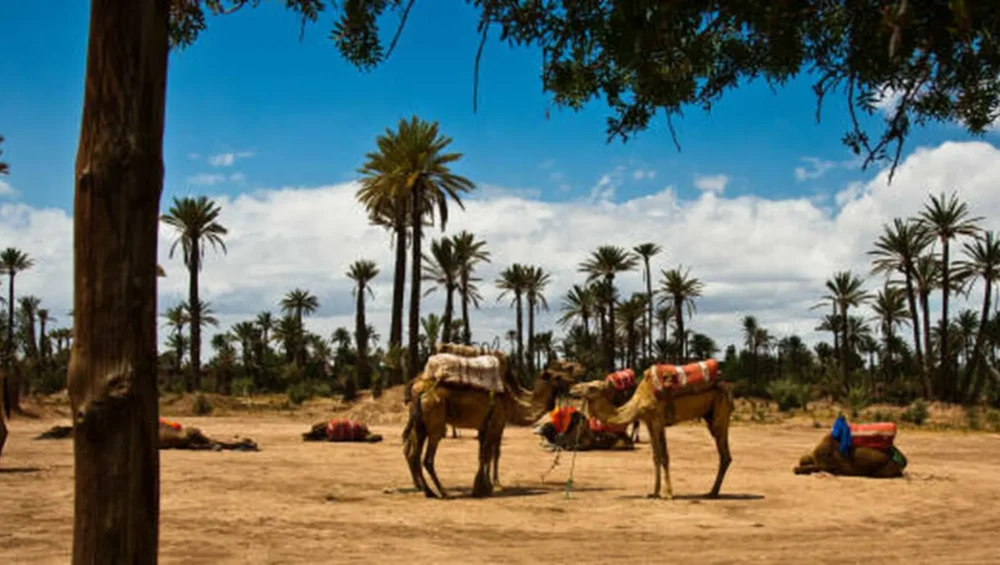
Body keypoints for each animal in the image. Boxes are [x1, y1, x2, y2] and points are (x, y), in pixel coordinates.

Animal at [403, 344, 578, 498]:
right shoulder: (496, 424)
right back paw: (443, 492)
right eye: (558, 376)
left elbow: (483, 454)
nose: (573, 381)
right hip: (435, 422)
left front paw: (484, 486)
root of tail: (419, 390)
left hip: (420, 424)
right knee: (427, 458)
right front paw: (485, 488)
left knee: (413, 454)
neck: (511, 401)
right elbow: (491, 454)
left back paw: (428, 491)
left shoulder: (484, 426)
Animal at [569, 358, 733, 499]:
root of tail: (725, 385)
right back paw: (712, 492)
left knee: (724, 454)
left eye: (592, 387)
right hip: (710, 416)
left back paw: (712, 492)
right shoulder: (649, 423)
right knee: (724, 454)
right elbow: (656, 457)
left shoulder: (658, 420)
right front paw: (654, 492)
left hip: (720, 410)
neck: (640, 402)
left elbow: (665, 456)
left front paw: (668, 494)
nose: (573, 388)